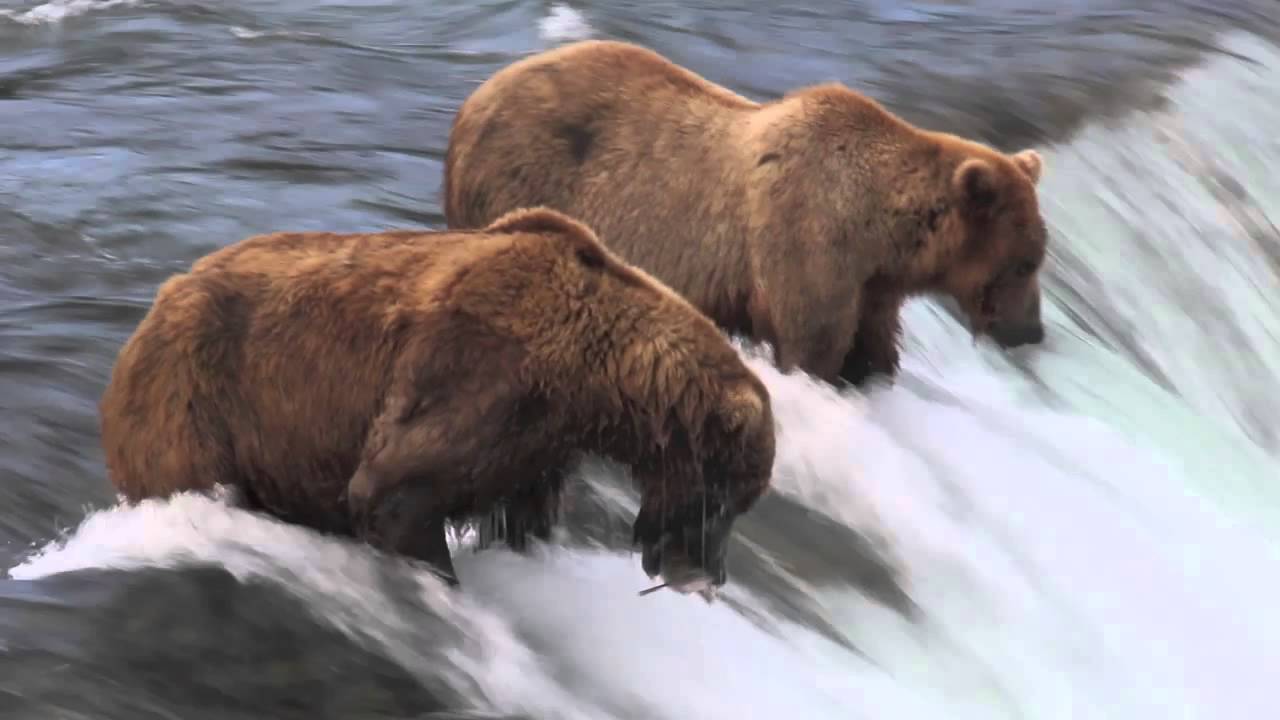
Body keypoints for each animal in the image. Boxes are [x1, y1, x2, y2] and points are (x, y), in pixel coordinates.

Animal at [98, 206, 777, 594]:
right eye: (725, 499)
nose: (709, 574)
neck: (594, 375)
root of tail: (152, 307)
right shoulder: (483, 373)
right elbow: (394, 487)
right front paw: (444, 582)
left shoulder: (539, 440)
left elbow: (517, 515)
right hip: (195, 401)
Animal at [443, 39, 1048, 387]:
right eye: (1024, 263)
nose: (1033, 331)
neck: (878, 232)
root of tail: (473, 99)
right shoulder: (806, 244)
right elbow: (812, 349)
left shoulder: (873, 288)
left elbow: (873, 350)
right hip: (520, 179)